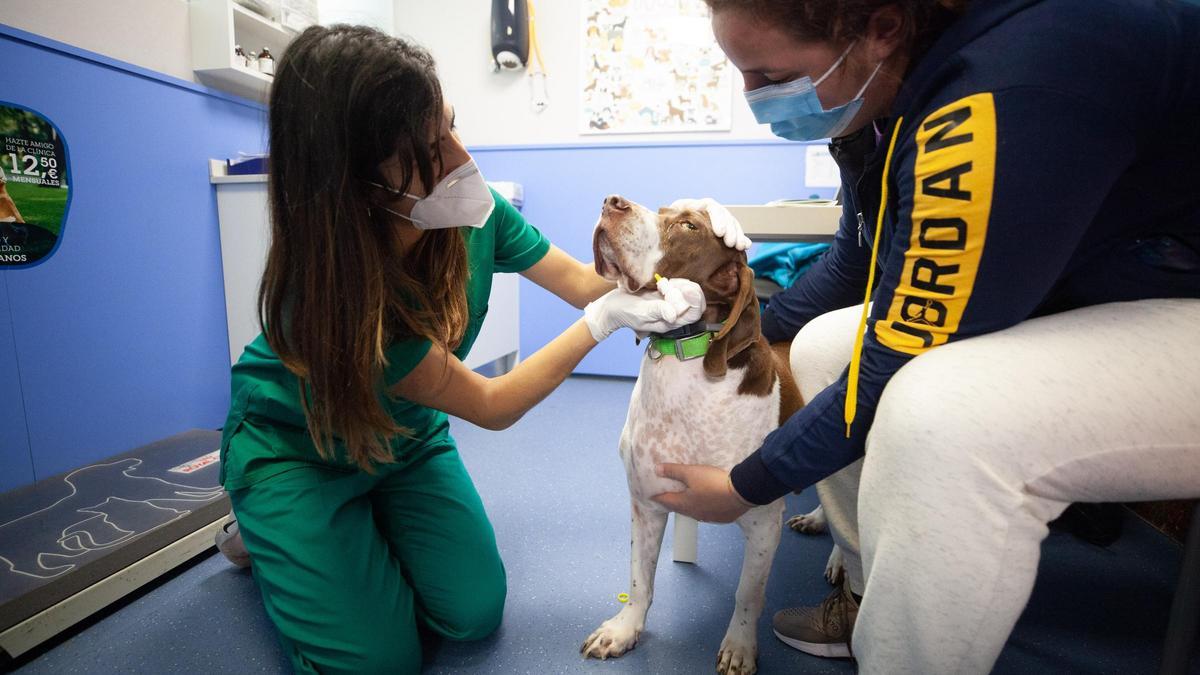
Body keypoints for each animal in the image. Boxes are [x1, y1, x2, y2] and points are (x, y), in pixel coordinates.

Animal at [580, 194, 796, 672]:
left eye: (689, 226)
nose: (611, 201)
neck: (688, 362)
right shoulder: (646, 503)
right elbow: (640, 579)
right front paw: (625, 629)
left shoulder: (763, 523)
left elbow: (748, 594)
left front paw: (739, 646)